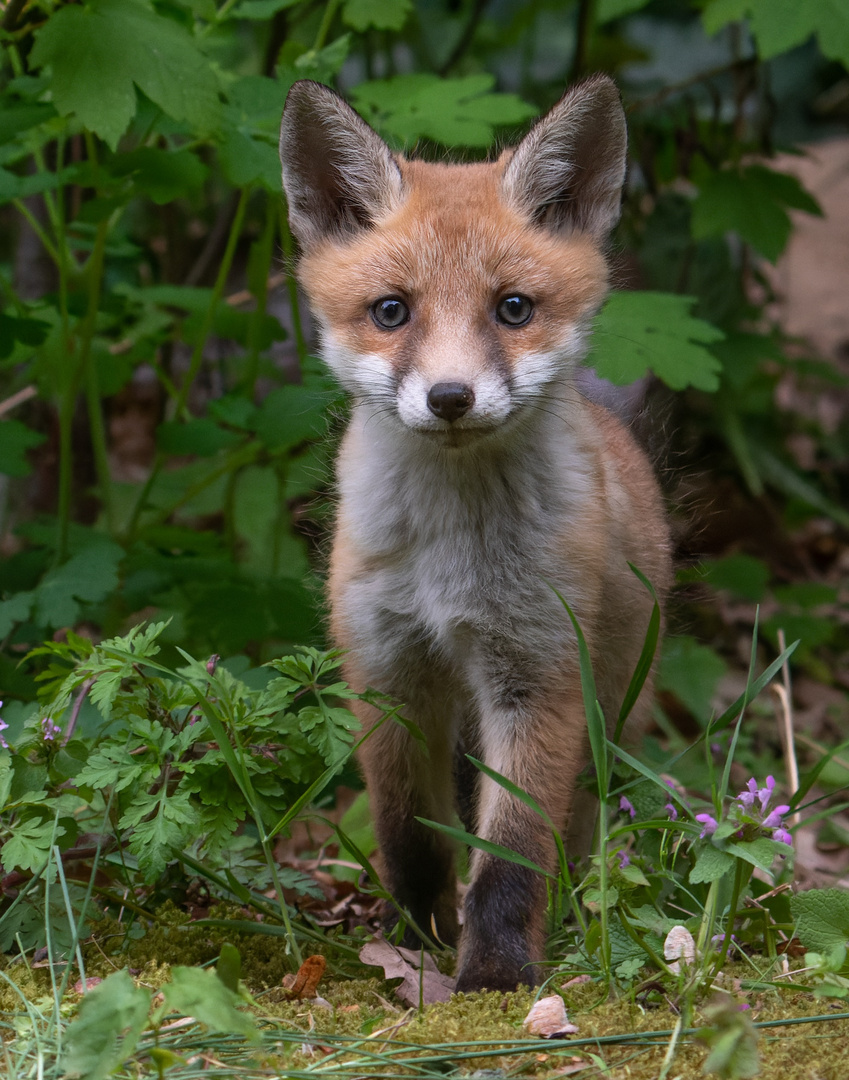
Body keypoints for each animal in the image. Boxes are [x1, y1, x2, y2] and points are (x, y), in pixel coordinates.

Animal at [280, 71, 669, 989]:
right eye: (391, 312)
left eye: (512, 309)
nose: (450, 397)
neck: (449, 562)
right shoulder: (386, 668)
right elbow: (409, 836)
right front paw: (412, 939)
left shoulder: (537, 673)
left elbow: (511, 854)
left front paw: (494, 976)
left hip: (611, 707)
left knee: (582, 824)